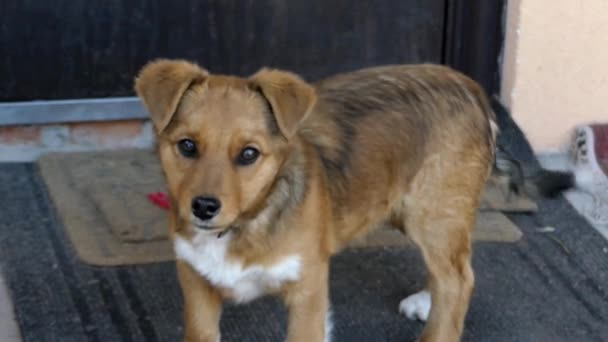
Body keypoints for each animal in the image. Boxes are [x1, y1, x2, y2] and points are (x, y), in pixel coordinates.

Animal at [135, 61, 496, 342]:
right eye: (187, 146)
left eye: (249, 154)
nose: (204, 208)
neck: (246, 223)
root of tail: (470, 87)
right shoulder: (196, 283)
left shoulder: (307, 290)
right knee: (448, 269)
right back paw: (425, 300)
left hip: (433, 214)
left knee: (458, 280)